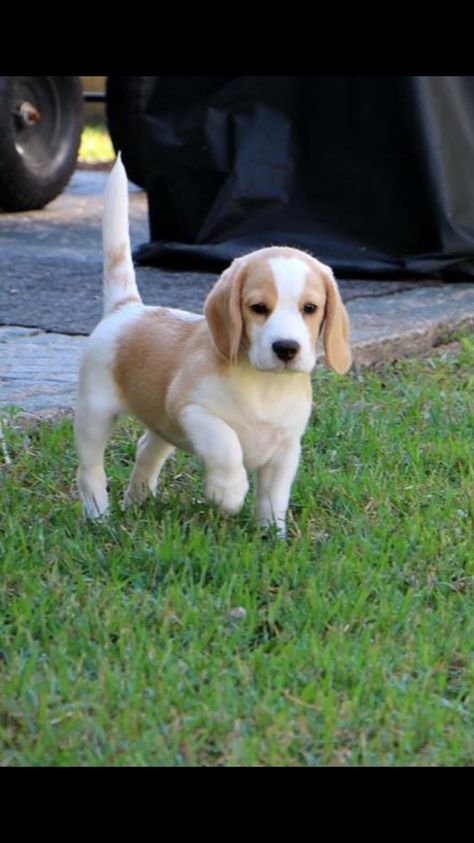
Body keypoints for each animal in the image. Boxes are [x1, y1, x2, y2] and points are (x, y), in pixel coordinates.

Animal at [75, 156, 352, 536]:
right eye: (258, 308)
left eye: (310, 308)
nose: (286, 348)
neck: (264, 385)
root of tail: (127, 309)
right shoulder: (193, 411)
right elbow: (226, 444)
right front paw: (228, 491)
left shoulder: (285, 449)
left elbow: (274, 497)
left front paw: (272, 535)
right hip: (96, 413)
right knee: (89, 469)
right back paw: (99, 516)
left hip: (160, 425)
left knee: (146, 448)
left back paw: (137, 500)